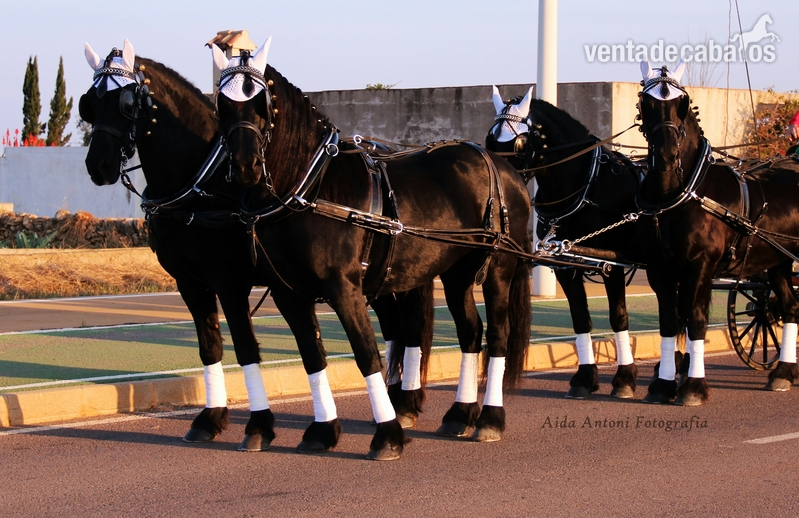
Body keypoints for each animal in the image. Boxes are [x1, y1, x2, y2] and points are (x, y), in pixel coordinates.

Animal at [78, 40, 432, 453]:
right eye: (89, 102)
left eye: (127, 102)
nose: (98, 165)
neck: (200, 183)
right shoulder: (190, 283)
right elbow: (210, 346)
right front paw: (210, 418)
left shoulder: (229, 281)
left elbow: (245, 347)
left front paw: (259, 425)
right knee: (395, 328)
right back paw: (396, 400)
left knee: (411, 327)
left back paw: (404, 404)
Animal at [211, 40, 532, 460]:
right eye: (221, 103)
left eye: (262, 102)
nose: (246, 166)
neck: (310, 188)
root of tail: (503, 167)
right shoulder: (288, 294)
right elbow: (312, 356)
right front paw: (323, 430)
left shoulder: (344, 288)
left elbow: (367, 354)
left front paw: (388, 434)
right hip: (457, 272)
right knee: (469, 331)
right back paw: (460, 414)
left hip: (498, 268)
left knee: (497, 334)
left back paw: (490, 418)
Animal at [485, 86, 647, 399]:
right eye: (490, 139)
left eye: (520, 143)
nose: (502, 182)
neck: (586, 187)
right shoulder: (565, 266)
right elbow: (580, 318)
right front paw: (585, 378)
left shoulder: (612, 264)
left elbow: (618, 317)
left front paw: (624, 379)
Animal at [636, 59, 799, 405]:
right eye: (646, 103)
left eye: (681, 103)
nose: (667, 155)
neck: (683, 191)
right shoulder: (660, 268)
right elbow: (670, 322)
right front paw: (664, 384)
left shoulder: (700, 265)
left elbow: (695, 319)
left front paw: (694, 386)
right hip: (778, 262)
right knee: (791, 307)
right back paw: (783, 373)